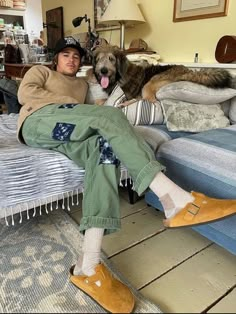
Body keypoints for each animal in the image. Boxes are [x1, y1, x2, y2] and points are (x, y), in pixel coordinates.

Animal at [92, 46, 232, 103]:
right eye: (98, 60)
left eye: (111, 59)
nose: (103, 70)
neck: (119, 76)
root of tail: (189, 71)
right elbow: (98, 100)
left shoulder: (127, 95)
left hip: (149, 85)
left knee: (147, 100)